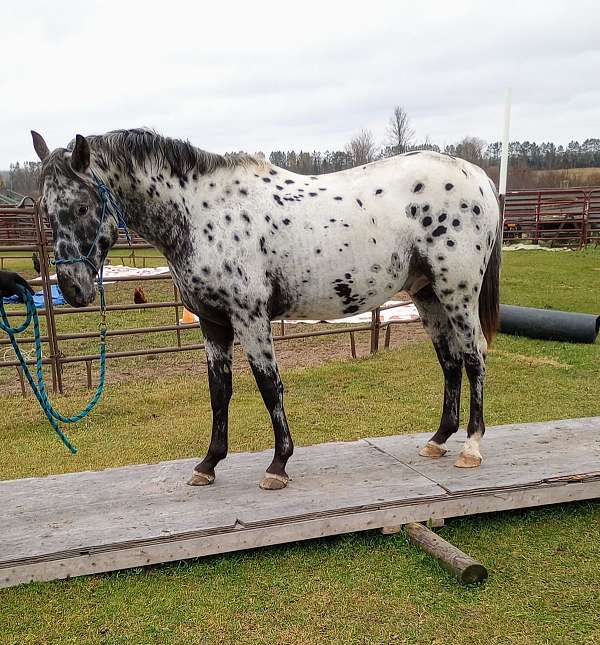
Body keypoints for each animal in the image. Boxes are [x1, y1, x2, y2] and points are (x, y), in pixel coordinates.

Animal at [31, 129, 501, 490]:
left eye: (82, 206)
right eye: (47, 212)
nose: (72, 288)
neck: (203, 214)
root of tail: (476, 176)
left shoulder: (250, 317)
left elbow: (268, 385)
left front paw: (278, 465)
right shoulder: (212, 323)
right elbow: (219, 390)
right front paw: (208, 464)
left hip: (456, 292)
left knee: (474, 356)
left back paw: (471, 447)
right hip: (427, 295)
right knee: (450, 360)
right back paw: (439, 440)